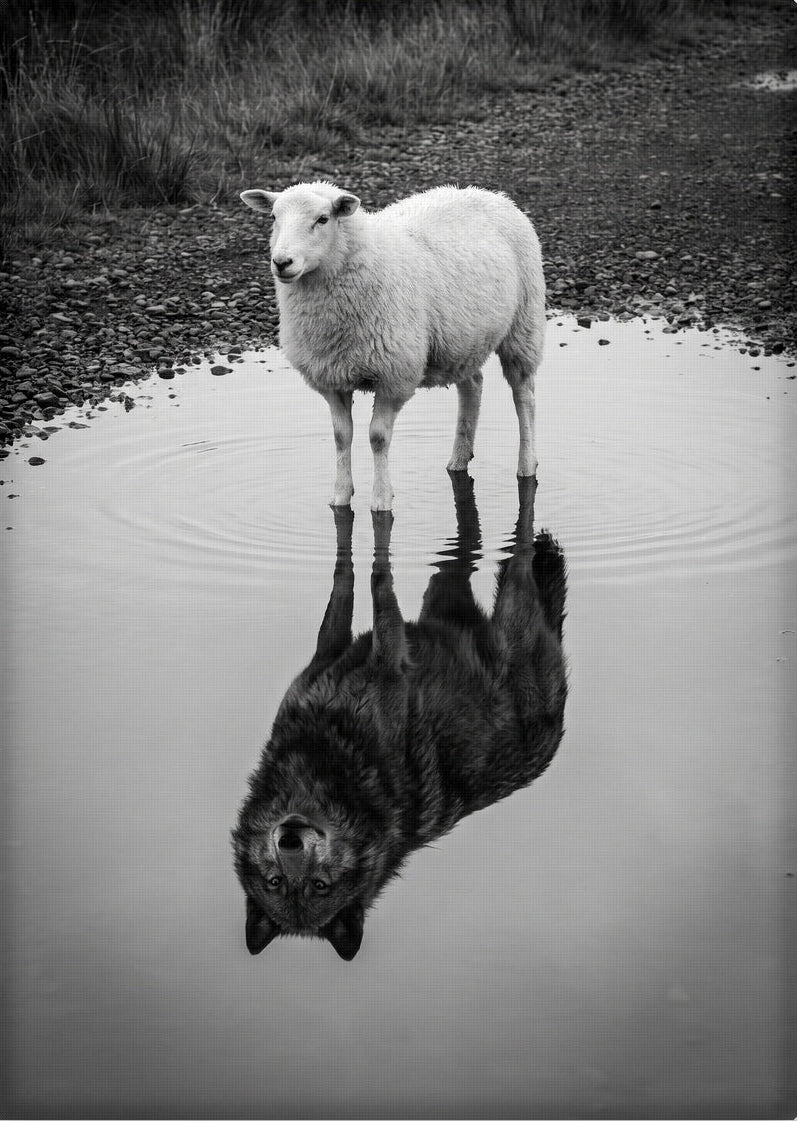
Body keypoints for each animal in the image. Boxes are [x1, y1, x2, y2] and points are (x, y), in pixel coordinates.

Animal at [232, 474, 567, 960]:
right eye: (276, 882)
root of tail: (557, 732)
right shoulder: (330, 652)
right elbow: (344, 583)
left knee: (520, 543)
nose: (290, 837)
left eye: (319, 886)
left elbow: (376, 582)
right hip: (442, 586)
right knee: (468, 549)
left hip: (512, 591)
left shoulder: (388, 654)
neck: (323, 758)